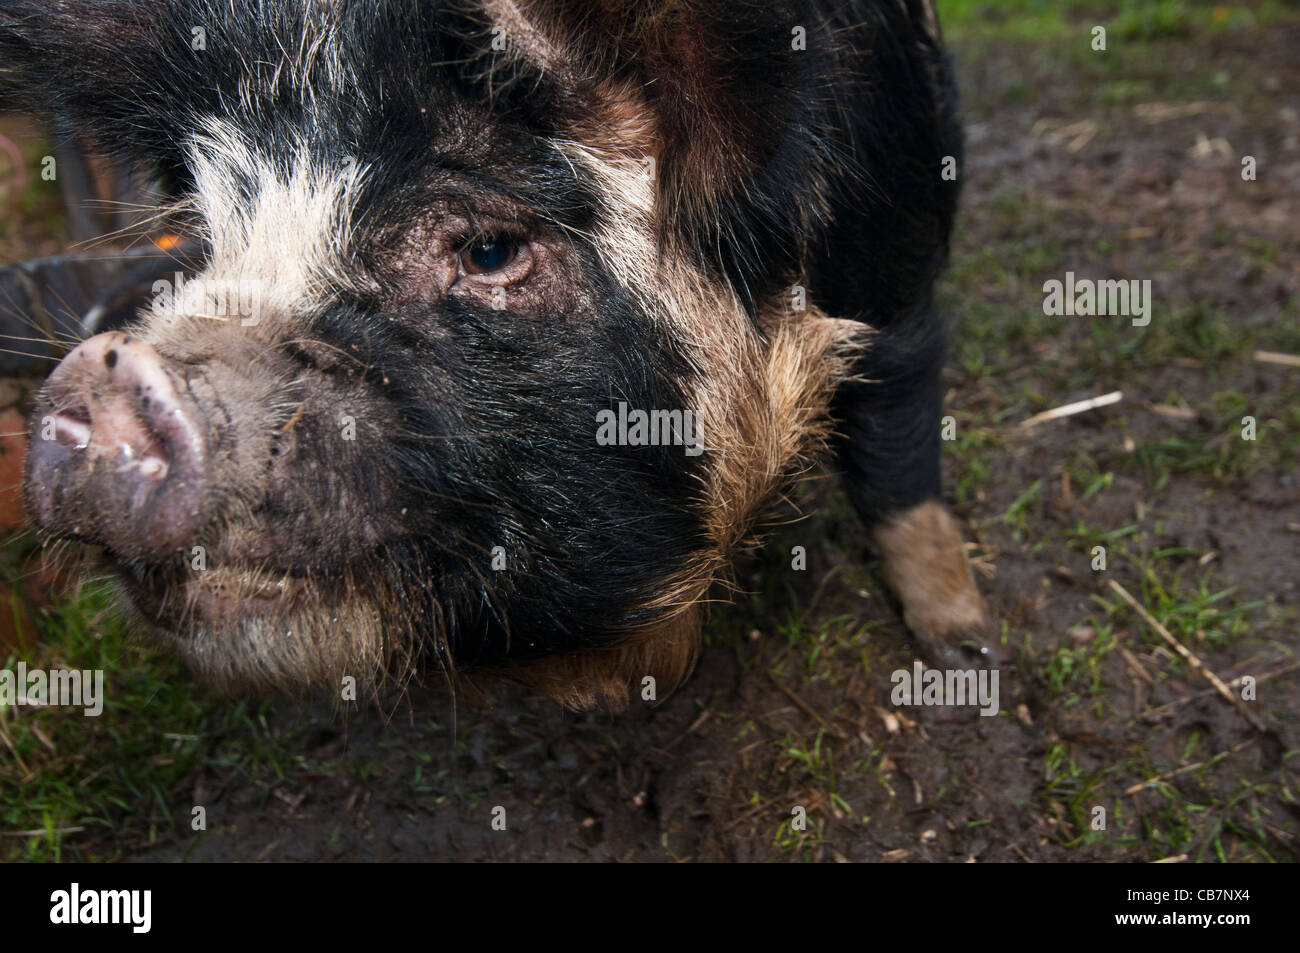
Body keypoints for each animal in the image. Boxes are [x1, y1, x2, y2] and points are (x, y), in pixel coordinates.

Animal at [2, 0, 993, 707]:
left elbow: (900, 466)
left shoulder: (893, 279)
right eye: (201, 241)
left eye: (488, 249)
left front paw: (963, 650)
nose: (105, 371)